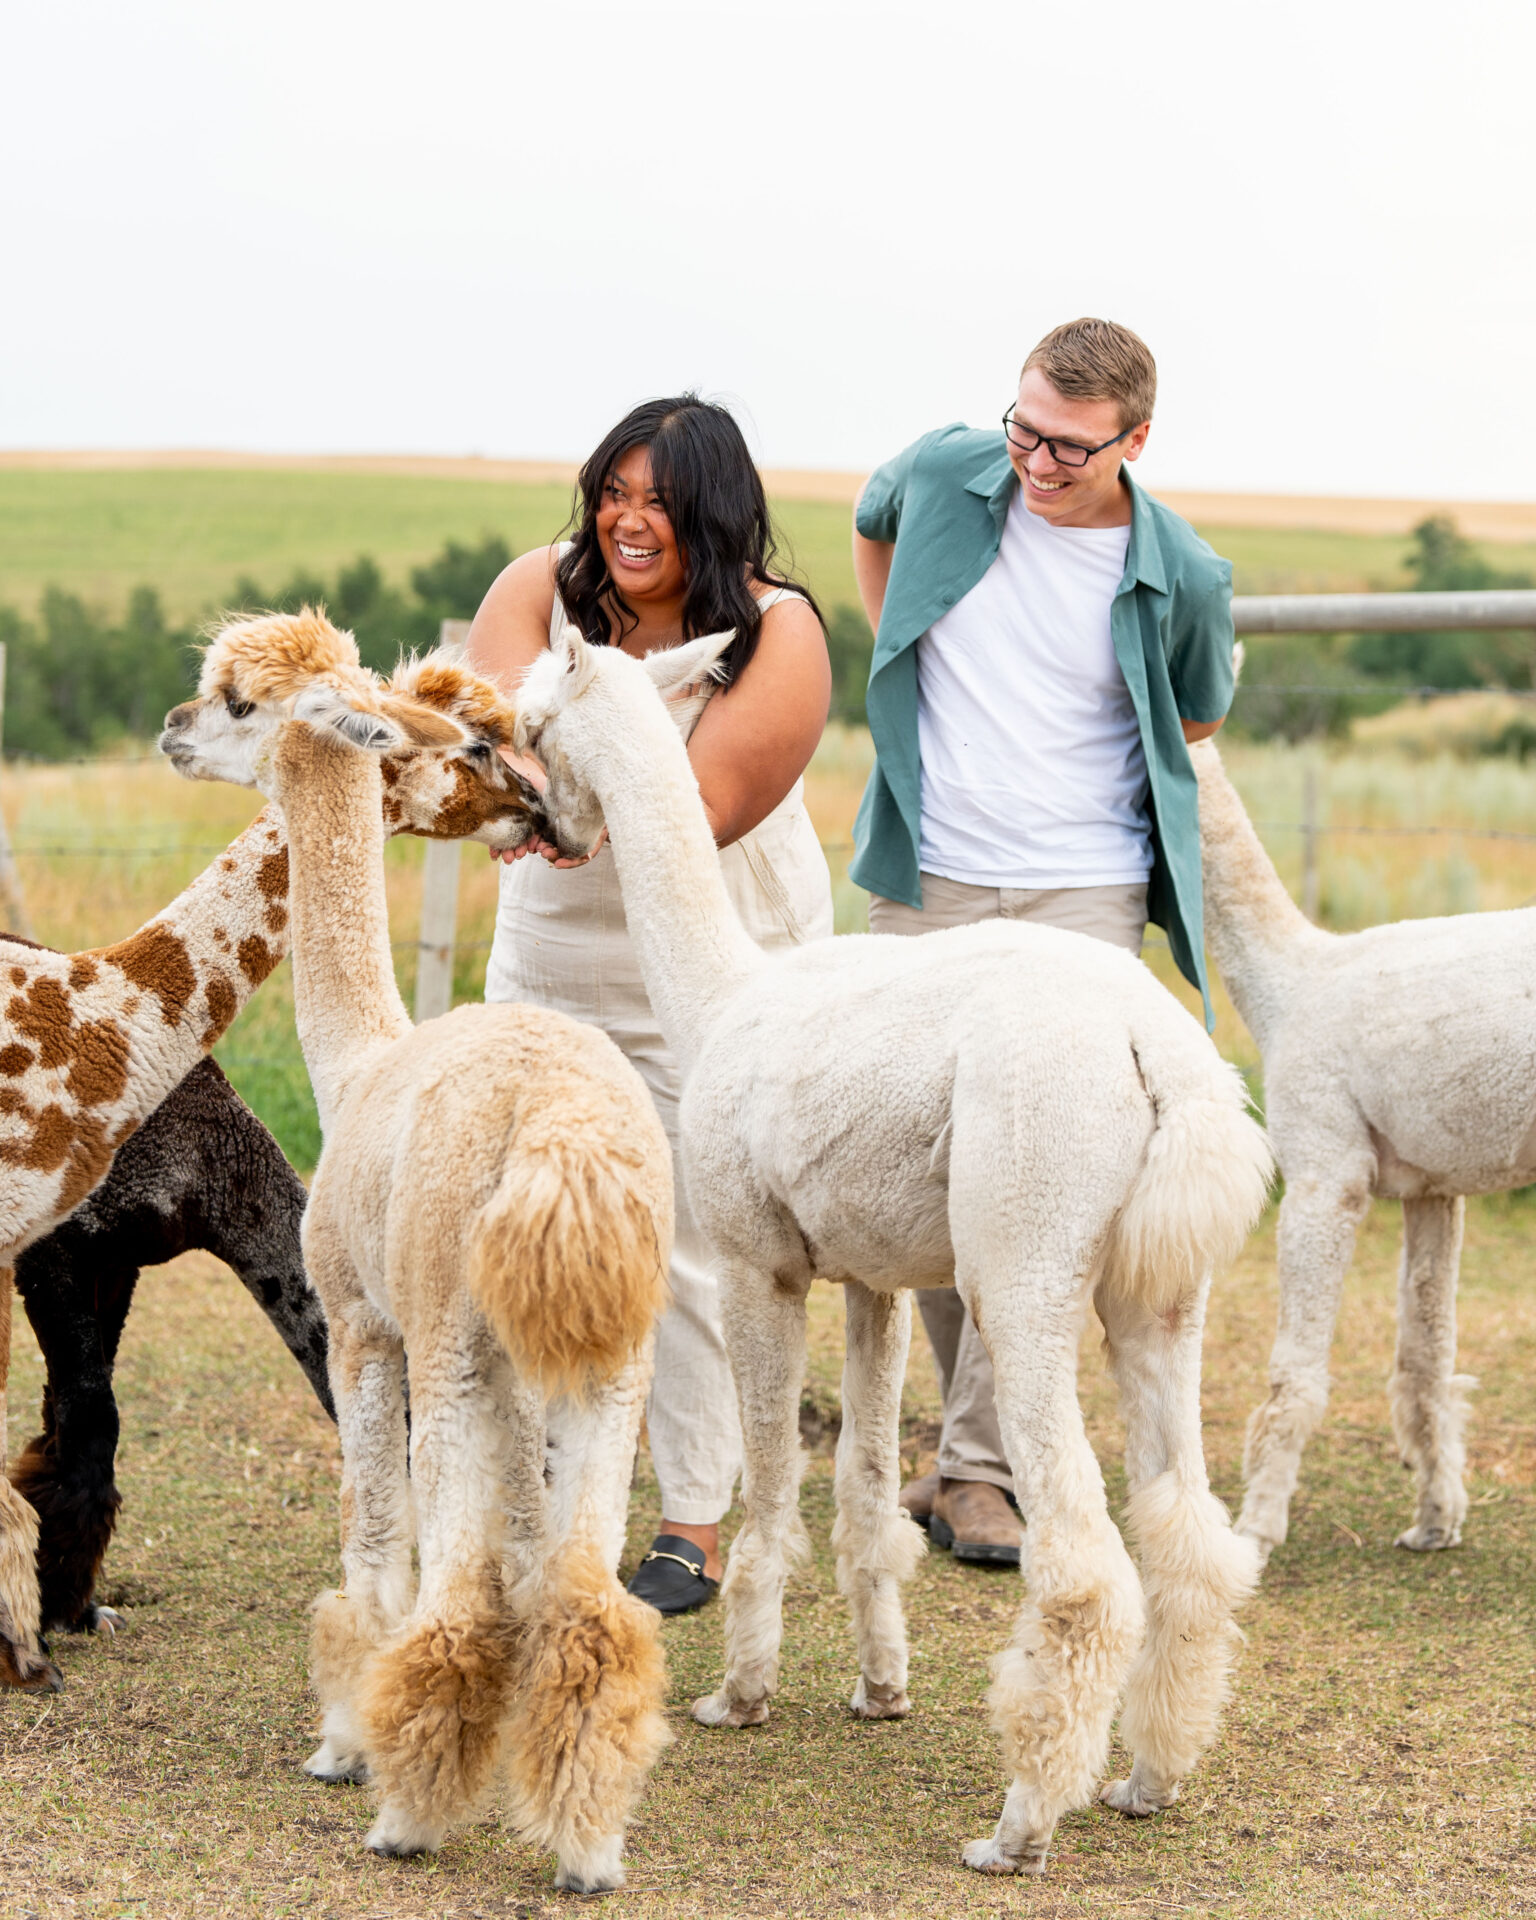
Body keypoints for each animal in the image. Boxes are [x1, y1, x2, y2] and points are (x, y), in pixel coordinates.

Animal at [0, 638, 546, 1691]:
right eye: (477, 744)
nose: (538, 806)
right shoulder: (55, 1247)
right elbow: (83, 1421)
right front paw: (34, 1630)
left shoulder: (108, 1255)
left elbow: (80, 1426)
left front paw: (69, 1607)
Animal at [162, 610, 676, 1895]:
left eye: (236, 701)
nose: (172, 730)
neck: (357, 1066)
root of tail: (561, 1137)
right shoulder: (527, 1379)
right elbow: (533, 1560)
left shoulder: (359, 1322)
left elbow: (376, 1538)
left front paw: (343, 1741)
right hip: (608, 1356)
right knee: (593, 1610)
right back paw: (590, 1846)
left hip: (448, 1331)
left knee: (451, 1609)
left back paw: (404, 1816)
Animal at [511, 623, 1274, 1878]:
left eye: (526, 724)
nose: (551, 827)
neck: (721, 1000)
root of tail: (1152, 1045)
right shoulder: (872, 1278)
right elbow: (864, 1491)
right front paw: (880, 1689)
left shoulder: (762, 1264)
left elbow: (773, 1484)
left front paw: (740, 1697)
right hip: (1161, 1293)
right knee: (1190, 1537)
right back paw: (1147, 1781)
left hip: (1025, 1255)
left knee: (1085, 1561)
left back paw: (1019, 1828)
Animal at [1193, 738, 1534, 1561]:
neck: (1289, 984)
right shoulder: (1433, 1187)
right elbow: (1425, 1359)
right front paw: (1435, 1520)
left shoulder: (1324, 1169)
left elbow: (1294, 1375)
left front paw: (1255, 1530)